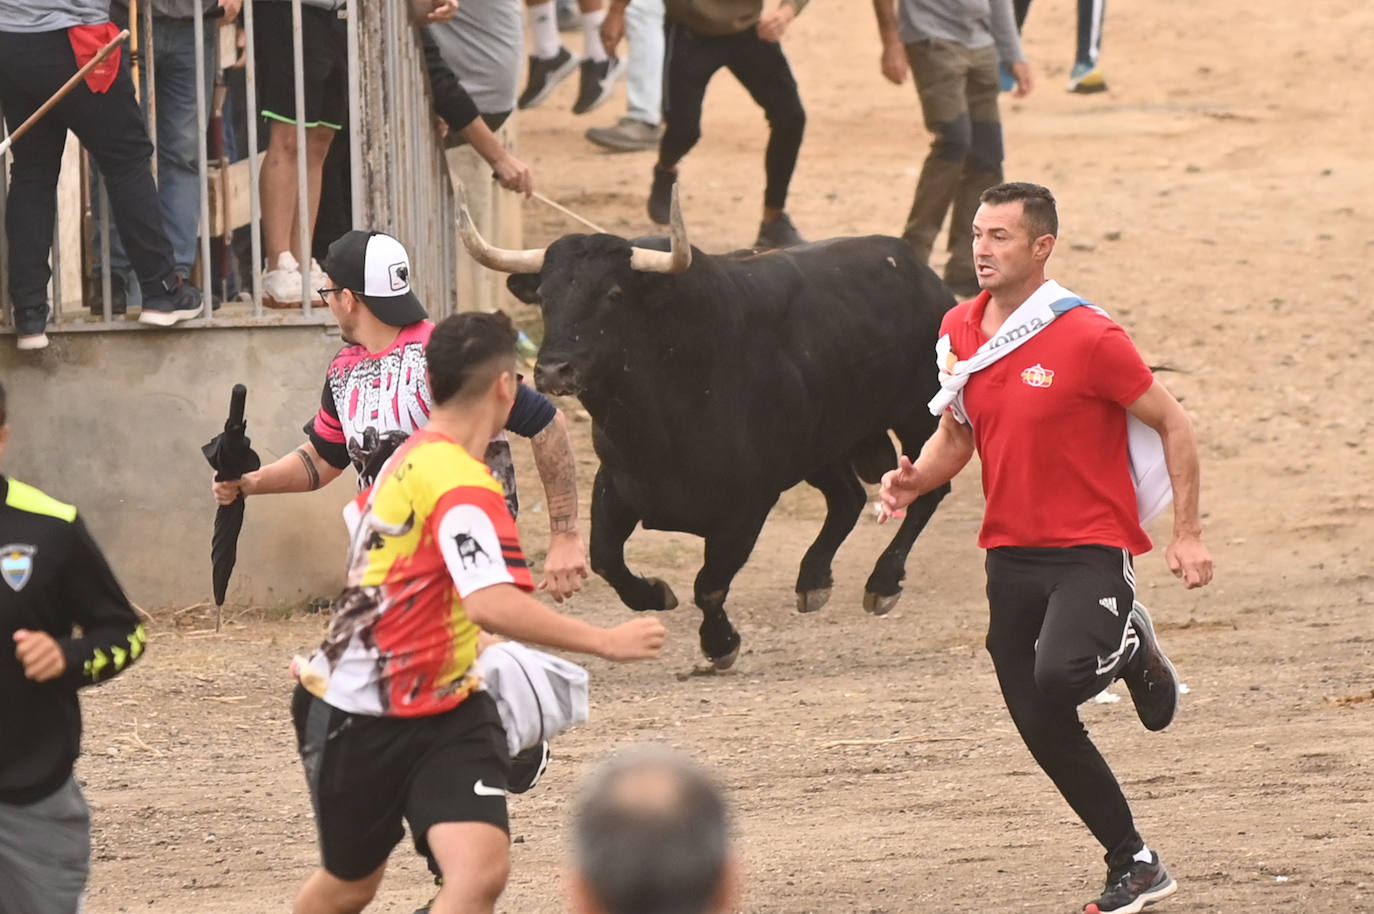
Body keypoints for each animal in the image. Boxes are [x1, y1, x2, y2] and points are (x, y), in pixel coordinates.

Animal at [461, 206, 956, 667]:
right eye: (544, 295)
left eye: (613, 294)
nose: (552, 370)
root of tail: (926, 278)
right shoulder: (617, 485)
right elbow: (606, 558)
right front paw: (655, 594)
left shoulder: (747, 507)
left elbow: (710, 586)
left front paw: (721, 644)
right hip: (823, 447)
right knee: (847, 498)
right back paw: (813, 580)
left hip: (919, 419)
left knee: (928, 491)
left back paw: (883, 582)